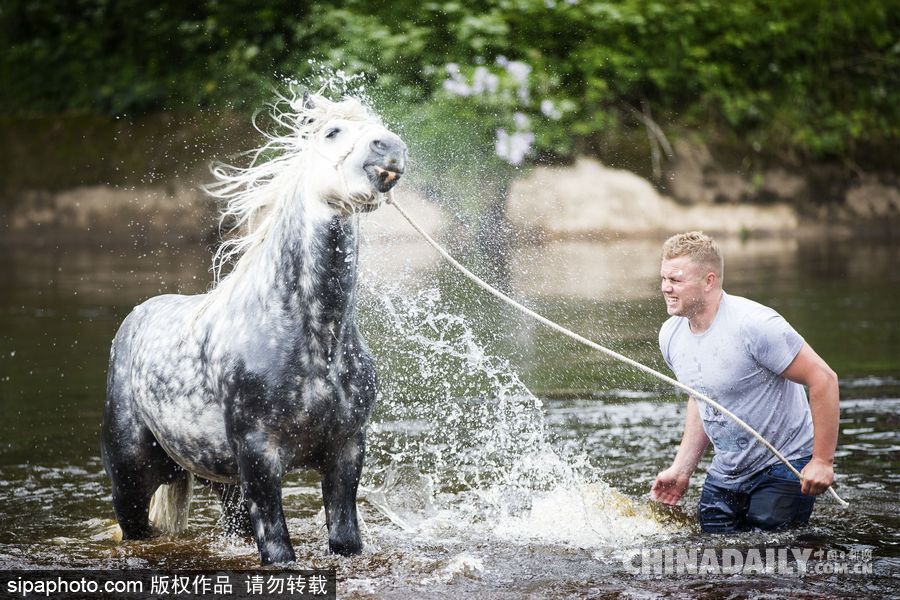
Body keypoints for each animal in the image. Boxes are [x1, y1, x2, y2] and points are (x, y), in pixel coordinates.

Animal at [100, 92, 406, 564]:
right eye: (332, 132)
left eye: (377, 124)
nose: (389, 147)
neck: (314, 342)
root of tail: (136, 317)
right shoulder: (260, 457)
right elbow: (279, 551)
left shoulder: (346, 451)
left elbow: (345, 540)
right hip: (131, 478)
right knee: (135, 529)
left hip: (222, 481)